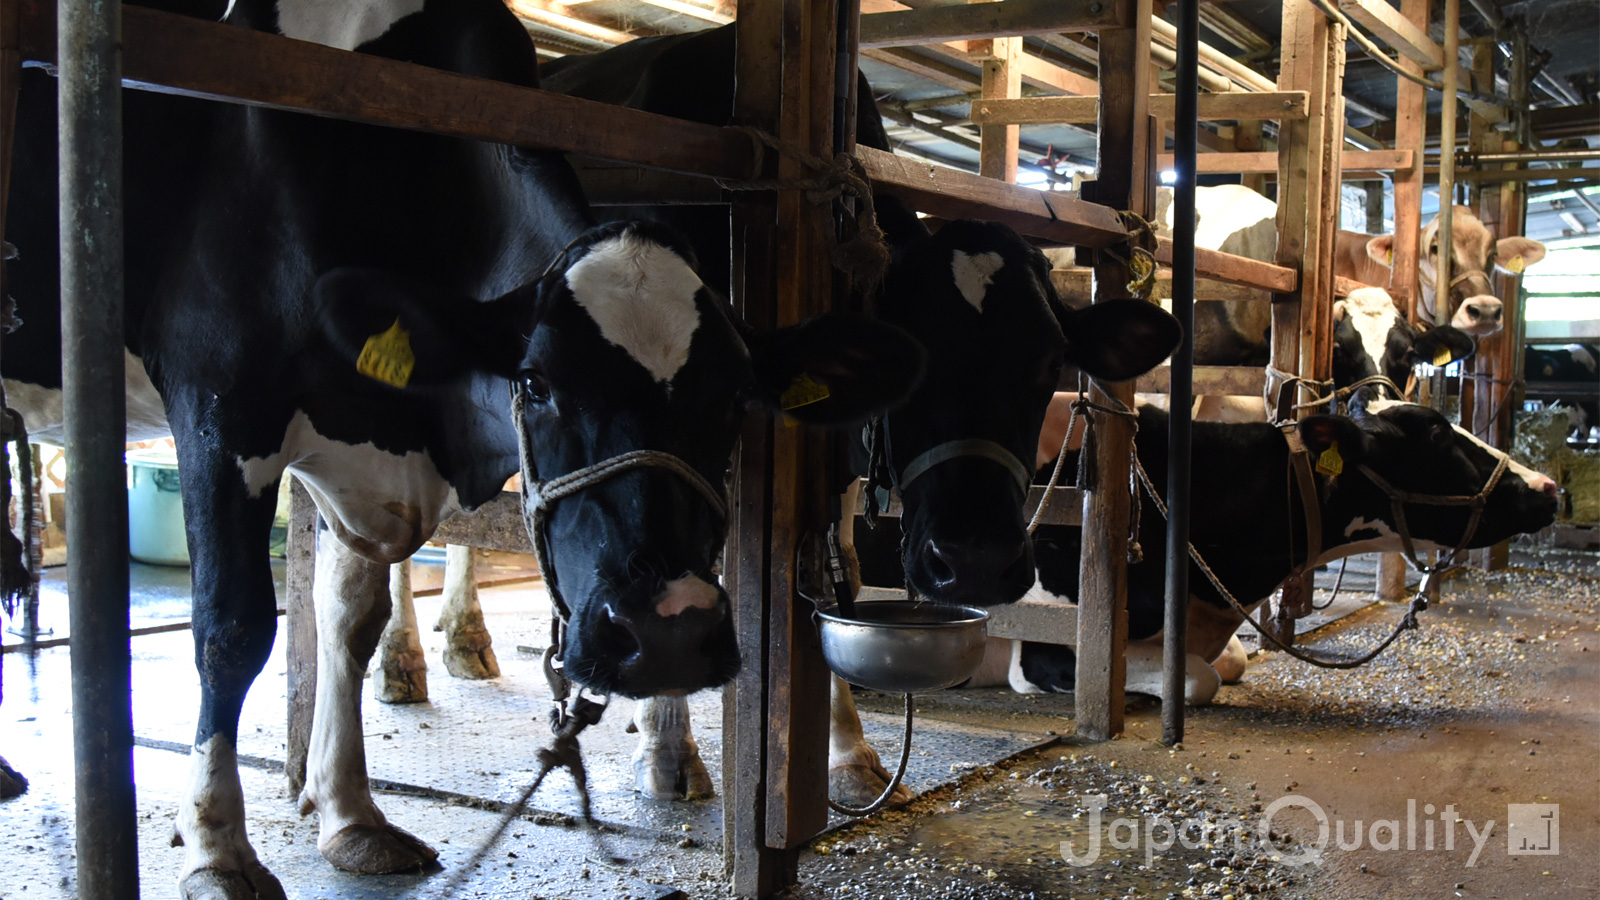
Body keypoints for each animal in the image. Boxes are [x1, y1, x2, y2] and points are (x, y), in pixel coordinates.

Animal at [0, 3, 928, 890]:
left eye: (733, 395)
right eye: (534, 383)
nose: (667, 630)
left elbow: (349, 619)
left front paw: (351, 818)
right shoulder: (220, 402)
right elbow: (231, 627)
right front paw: (218, 849)